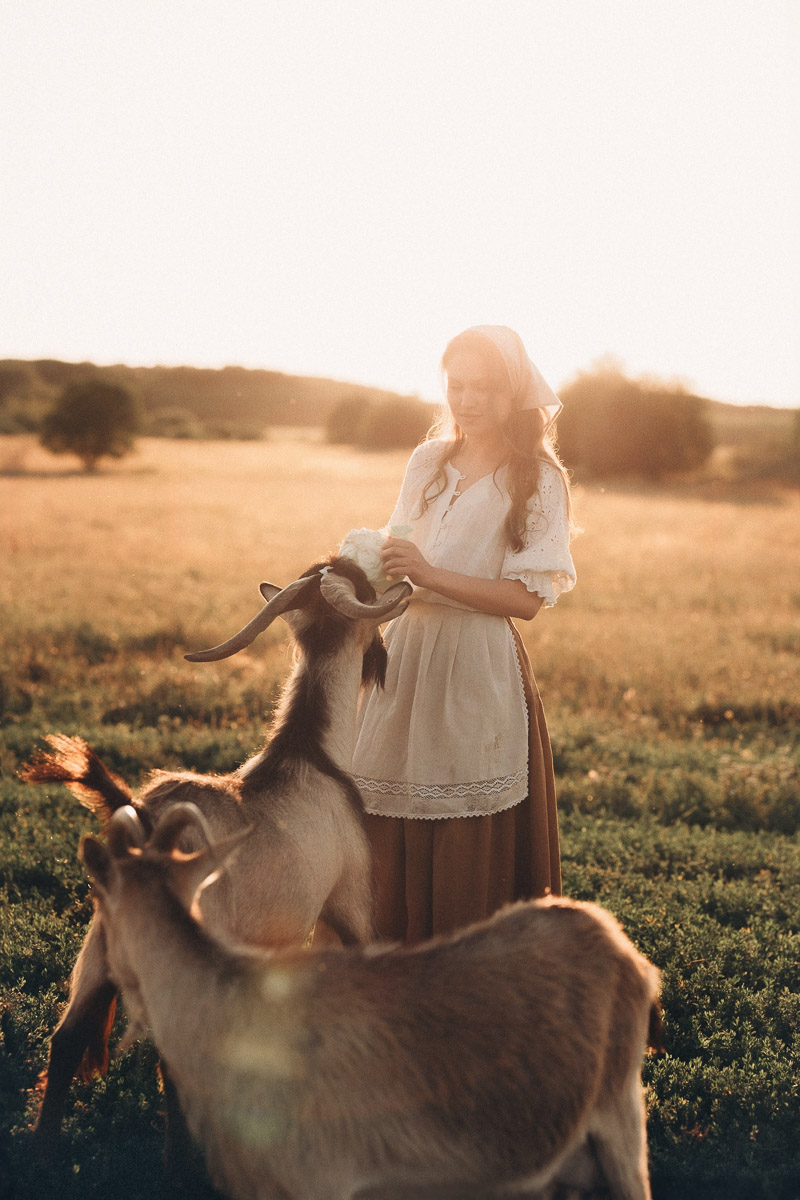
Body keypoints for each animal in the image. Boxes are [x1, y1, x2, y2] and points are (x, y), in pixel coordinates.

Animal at [19, 554, 412, 1152]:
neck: (311, 754)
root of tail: (143, 821)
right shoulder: (347, 902)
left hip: (96, 951)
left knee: (65, 1042)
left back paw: (43, 1154)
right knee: (173, 1068)